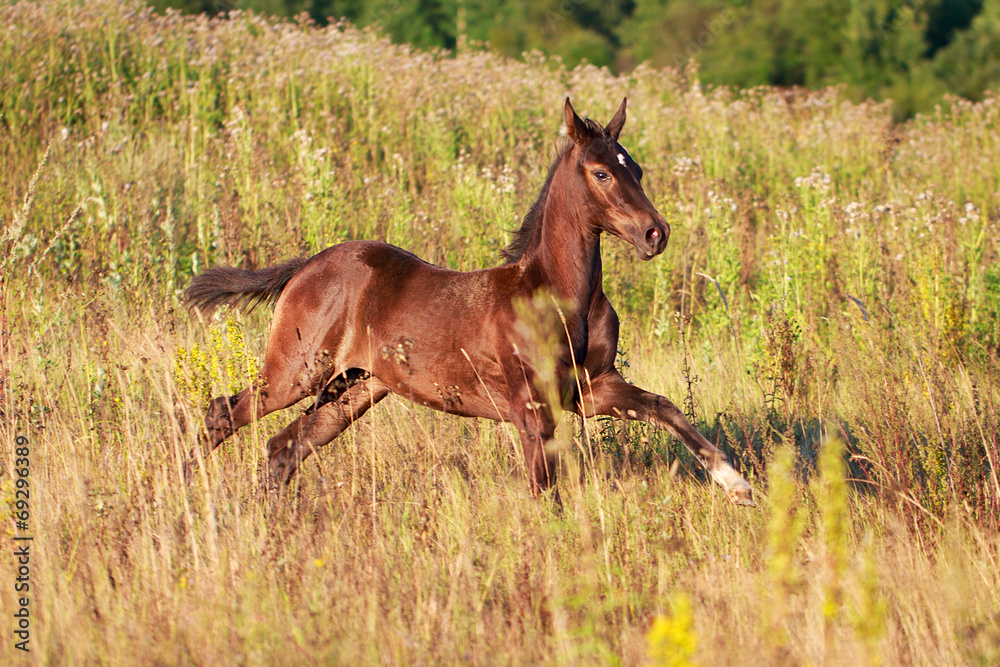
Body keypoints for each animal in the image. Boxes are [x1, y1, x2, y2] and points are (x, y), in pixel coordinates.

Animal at [183, 98, 754, 506]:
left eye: (635, 167)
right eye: (601, 173)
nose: (656, 234)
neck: (556, 294)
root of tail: (306, 266)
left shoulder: (591, 390)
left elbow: (664, 407)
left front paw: (738, 485)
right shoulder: (531, 408)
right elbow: (544, 491)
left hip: (353, 390)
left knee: (284, 447)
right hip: (297, 371)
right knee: (225, 413)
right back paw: (186, 490)